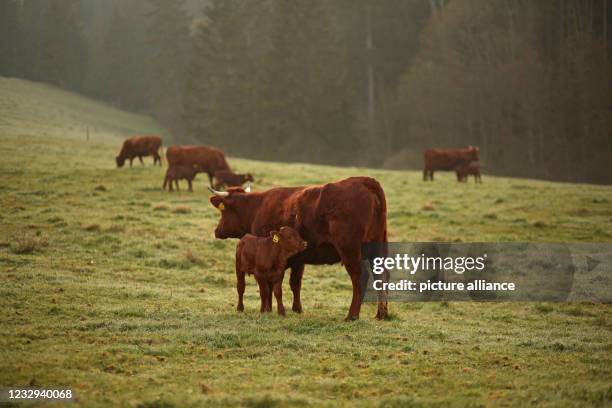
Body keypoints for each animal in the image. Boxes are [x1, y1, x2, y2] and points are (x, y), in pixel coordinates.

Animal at [208, 176, 390, 322]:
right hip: (377, 248)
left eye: (223, 211)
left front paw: (268, 309)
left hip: (349, 250)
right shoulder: (298, 259)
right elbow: (294, 283)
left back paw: (352, 315)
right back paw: (381, 314)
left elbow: (268, 287)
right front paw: (296, 309)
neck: (258, 207)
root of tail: (365, 181)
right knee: (382, 275)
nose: (217, 231)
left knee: (360, 277)